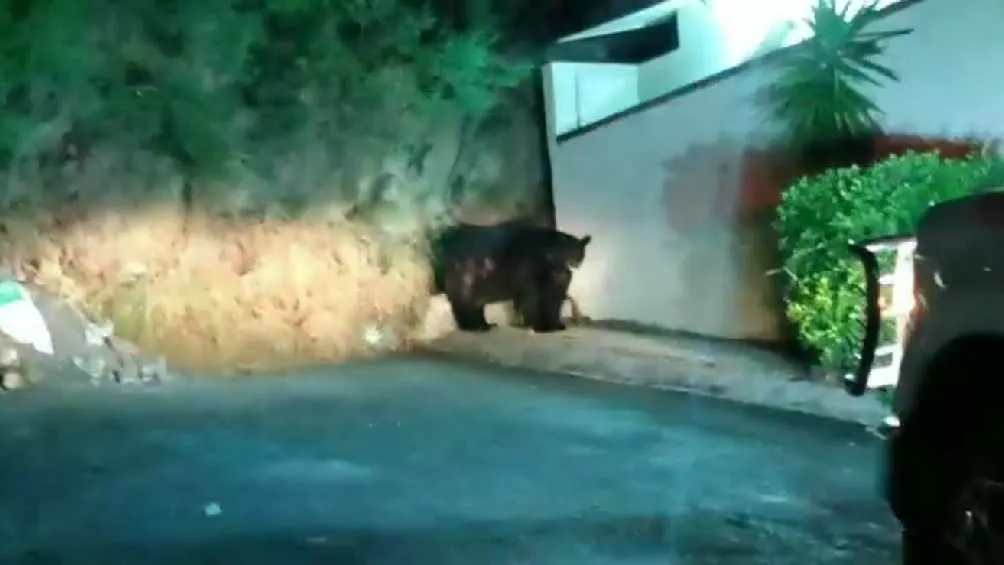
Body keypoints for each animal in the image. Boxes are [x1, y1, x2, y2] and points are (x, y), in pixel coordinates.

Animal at [429, 220, 591, 333]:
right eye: (569, 249)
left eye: (580, 252)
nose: (576, 262)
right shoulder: (529, 283)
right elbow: (534, 305)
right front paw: (541, 327)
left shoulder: (555, 289)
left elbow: (553, 307)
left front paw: (555, 325)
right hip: (467, 282)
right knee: (463, 307)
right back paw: (474, 327)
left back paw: (484, 325)